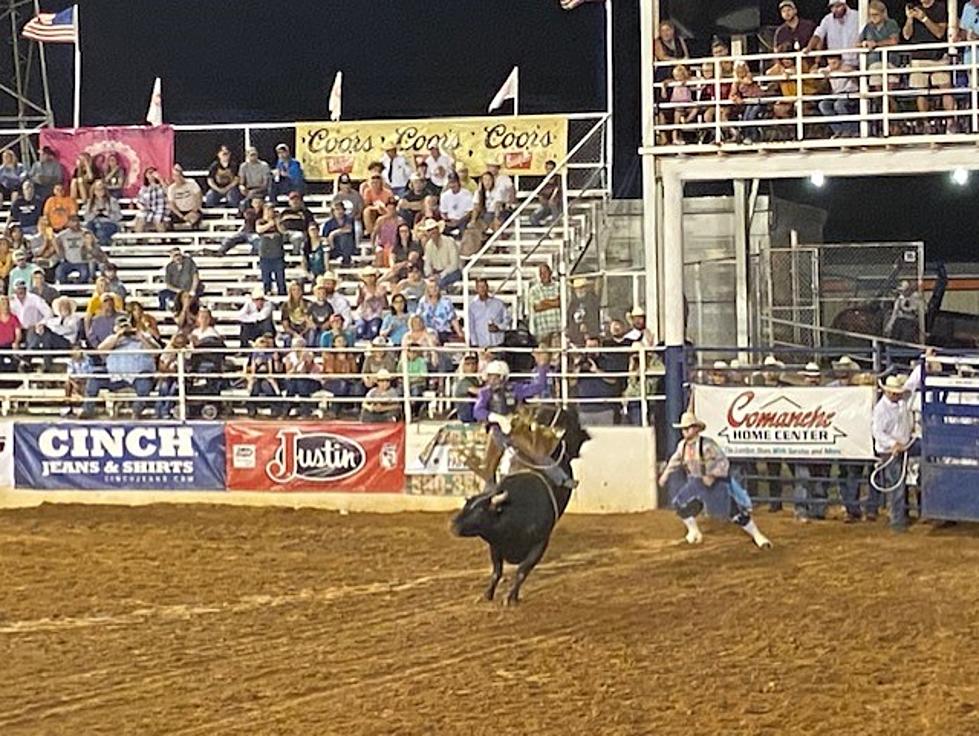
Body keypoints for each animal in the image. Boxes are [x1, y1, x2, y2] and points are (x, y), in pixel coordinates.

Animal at [452, 402, 588, 604]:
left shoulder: (540, 543)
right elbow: (497, 571)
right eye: (466, 506)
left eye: (481, 511)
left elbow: (522, 571)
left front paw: (511, 597)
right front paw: (487, 594)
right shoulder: (495, 544)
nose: (453, 525)